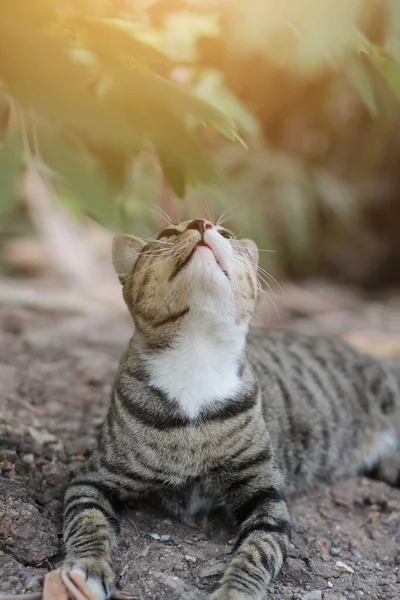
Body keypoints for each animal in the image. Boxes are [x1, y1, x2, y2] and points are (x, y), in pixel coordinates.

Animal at [61, 220, 400, 600]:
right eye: (166, 234)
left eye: (227, 234)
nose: (202, 223)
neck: (196, 357)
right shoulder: (94, 479)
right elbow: (86, 521)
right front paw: (88, 568)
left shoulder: (264, 494)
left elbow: (258, 551)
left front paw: (234, 591)